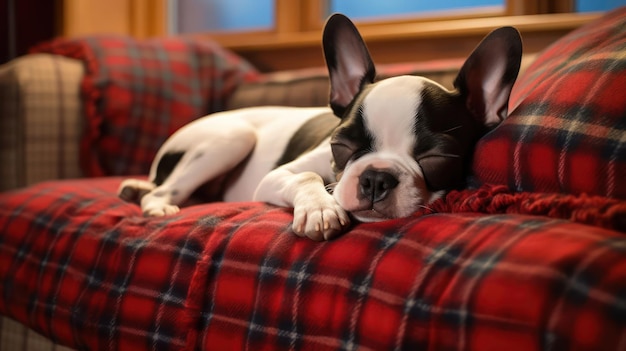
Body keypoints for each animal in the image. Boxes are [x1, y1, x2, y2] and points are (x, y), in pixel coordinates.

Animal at [118, 12, 520, 241]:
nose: (375, 178)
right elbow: (307, 176)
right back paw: (154, 203)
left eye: (437, 159)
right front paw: (320, 209)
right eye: (339, 146)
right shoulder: (278, 176)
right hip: (232, 138)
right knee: (163, 190)